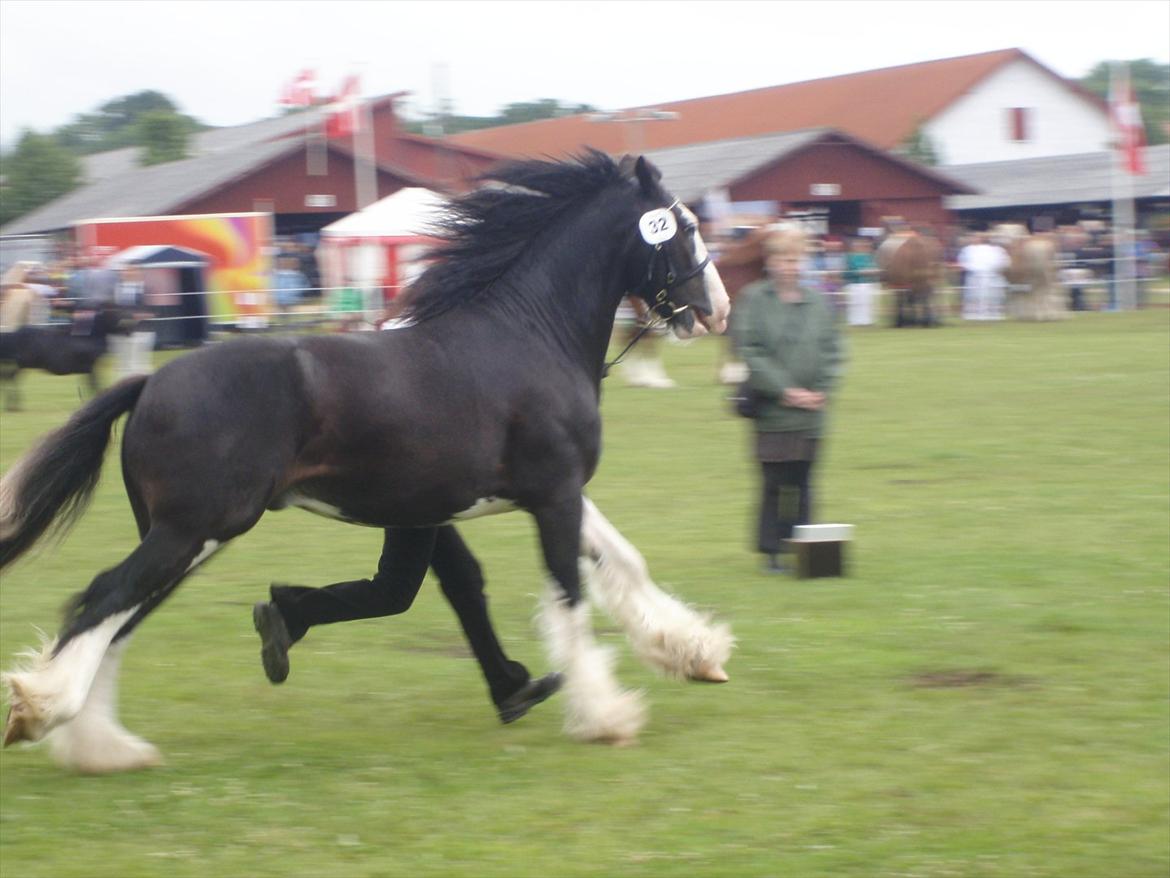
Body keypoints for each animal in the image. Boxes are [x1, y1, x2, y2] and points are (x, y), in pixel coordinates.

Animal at [0, 306, 133, 412]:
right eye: (116, 314)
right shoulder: (90, 366)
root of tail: (14, 333)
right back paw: (13, 406)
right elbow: (94, 383)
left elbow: (89, 384)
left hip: (21, 364)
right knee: (9, 377)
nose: (130, 327)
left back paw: (12, 405)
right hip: (22, 364)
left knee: (8, 377)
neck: (90, 336)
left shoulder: (87, 369)